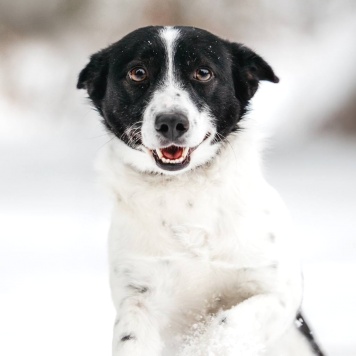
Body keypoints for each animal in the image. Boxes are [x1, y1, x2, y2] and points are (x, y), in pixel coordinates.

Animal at [78, 25, 326, 356]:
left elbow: (227, 322)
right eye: (138, 72)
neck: (186, 195)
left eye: (204, 72)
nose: (171, 122)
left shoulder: (279, 292)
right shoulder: (139, 297)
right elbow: (132, 337)